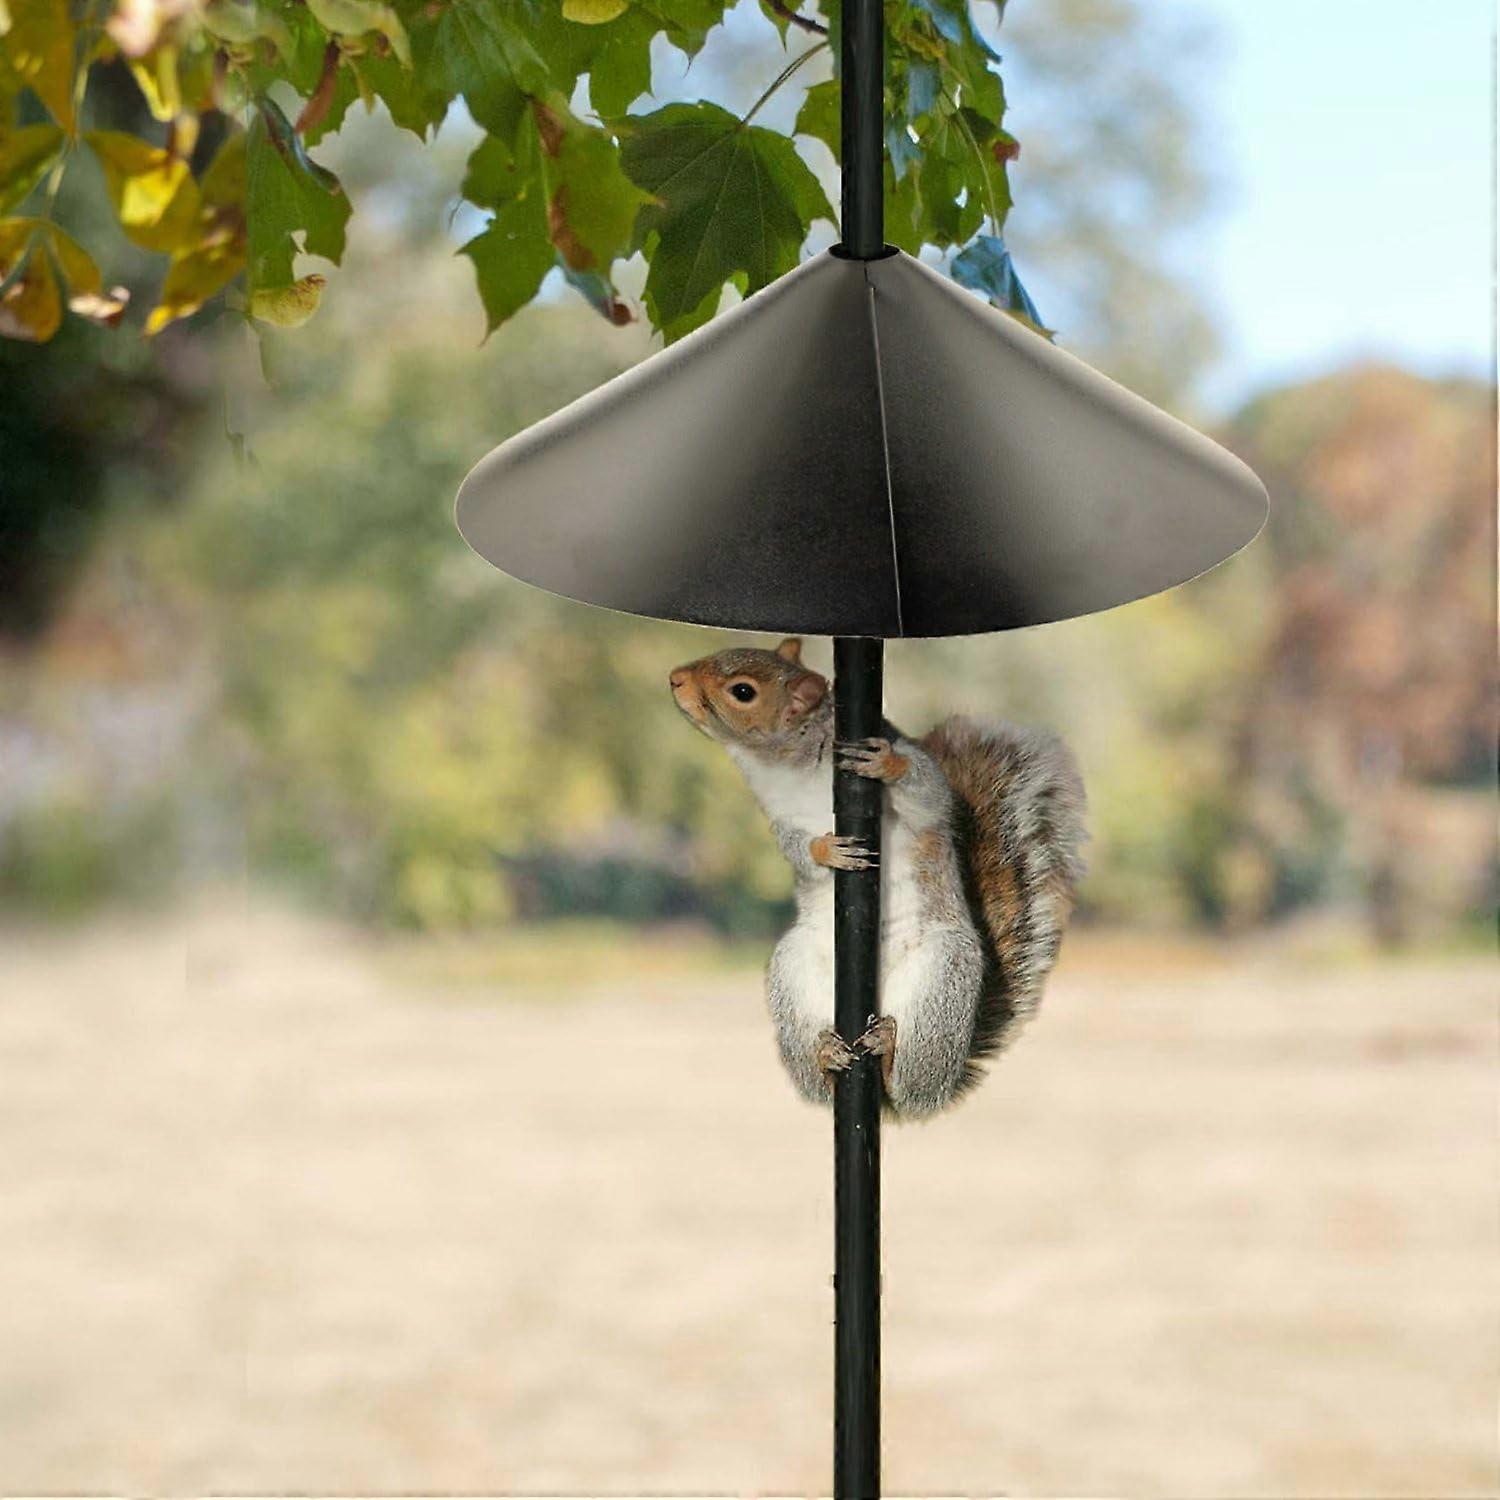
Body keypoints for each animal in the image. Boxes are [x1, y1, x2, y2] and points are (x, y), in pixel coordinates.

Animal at [669, 638, 1088, 1119]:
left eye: (742, 691)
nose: (675, 679)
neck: (787, 765)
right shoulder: (781, 819)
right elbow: (797, 850)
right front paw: (827, 851)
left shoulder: (922, 789)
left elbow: (929, 794)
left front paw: (887, 763)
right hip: (793, 972)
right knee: (820, 1085)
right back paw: (826, 1057)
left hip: (943, 978)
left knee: (911, 1086)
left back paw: (889, 1055)